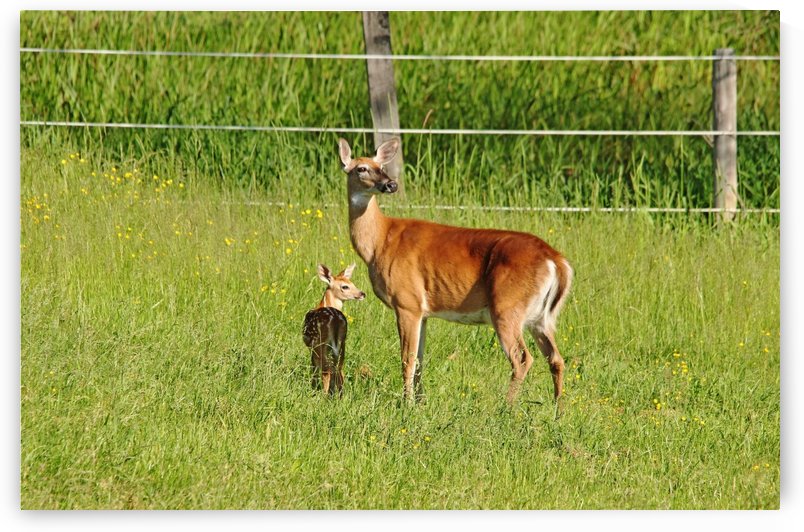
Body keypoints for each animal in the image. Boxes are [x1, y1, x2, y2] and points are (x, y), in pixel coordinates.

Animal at [302, 263, 366, 395]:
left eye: (352, 283)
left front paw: (313, 387)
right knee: (339, 367)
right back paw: (340, 394)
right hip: (342, 342)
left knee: (326, 369)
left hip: (322, 342)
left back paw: (324, 395)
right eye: (345, 286)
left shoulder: (312, 346)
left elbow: (314, 367)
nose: (362, 293)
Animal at [338, 137, 573, 405]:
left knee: (523, 358)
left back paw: (505, 408)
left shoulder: (406, 301)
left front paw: (406, 403)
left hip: (507, 306)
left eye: (380, 166)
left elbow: (408, 359)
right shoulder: (422, 311)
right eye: (361, 168)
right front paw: (420, 402)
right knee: (556, 359)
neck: (379, 242)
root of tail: (555, 259)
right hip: (542, 317)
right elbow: (420, 360)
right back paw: (557, 408)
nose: (391, 184)